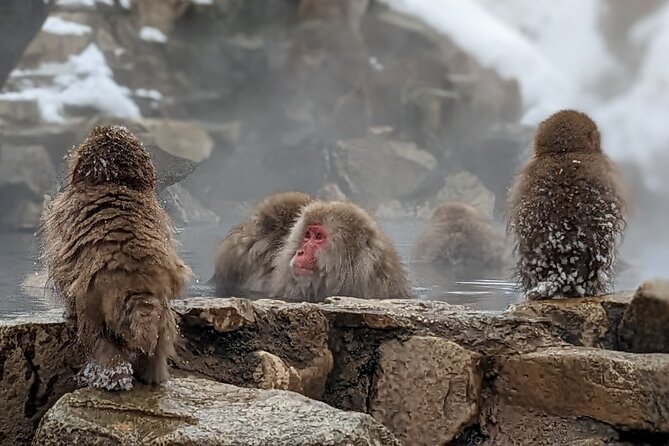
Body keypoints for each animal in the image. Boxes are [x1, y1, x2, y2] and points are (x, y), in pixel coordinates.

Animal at [42, 124, 189, 390]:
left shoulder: (60, 219)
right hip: (162, 313)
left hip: (95, 305)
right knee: (158, 343)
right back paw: (153, 375)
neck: (115, 181)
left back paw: (111, 376)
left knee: (98, 339)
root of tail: (136, 283)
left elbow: (64, 273)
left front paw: (67, 311)